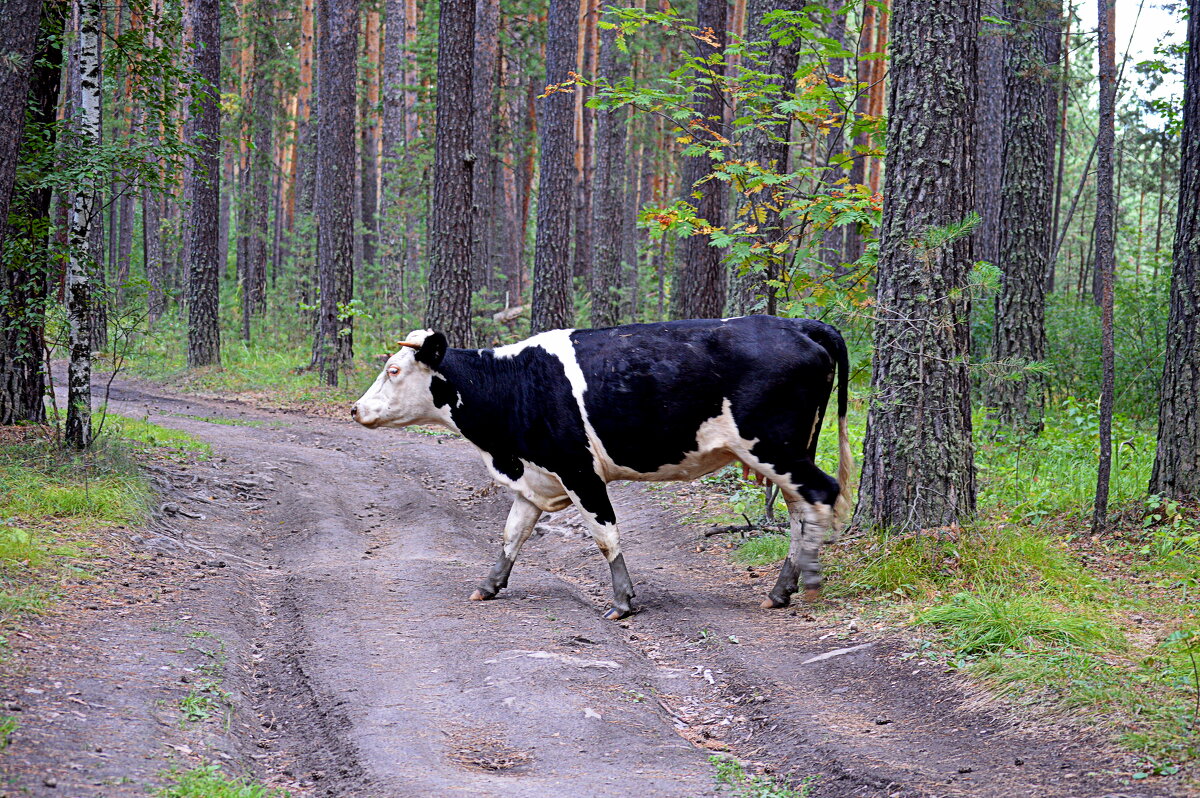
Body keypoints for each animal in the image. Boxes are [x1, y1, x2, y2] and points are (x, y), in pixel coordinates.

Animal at [350, 314, 854, 619]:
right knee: (800, 512)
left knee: (821, 493)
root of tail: (799, 324)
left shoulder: (579, 472)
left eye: (394, 370)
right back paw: (781, 590)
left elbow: (605, 535)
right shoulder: (534, 476)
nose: (356, 409)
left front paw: (623, 601)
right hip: (791, 451)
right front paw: (489, 585)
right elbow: (512, 534)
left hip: (775, 448)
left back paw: (809, 582)